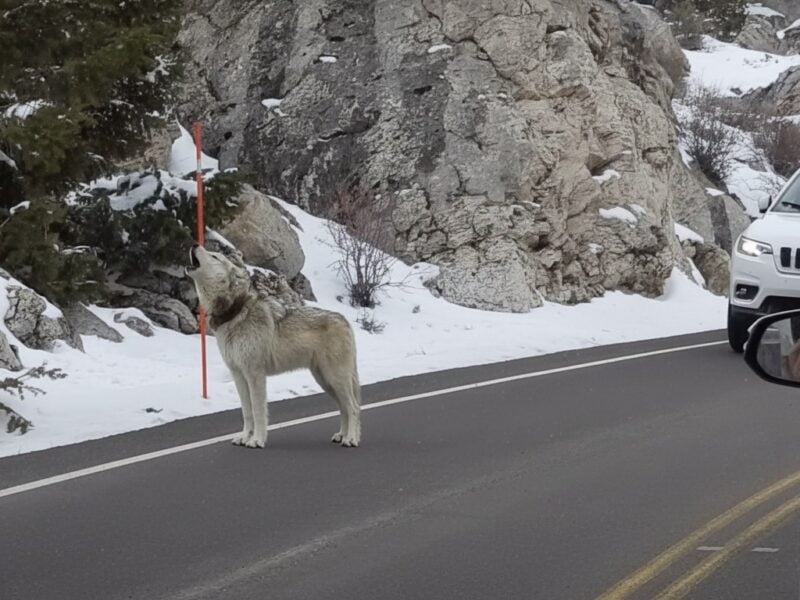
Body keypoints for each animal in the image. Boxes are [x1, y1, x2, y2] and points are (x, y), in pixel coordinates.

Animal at [185, 245, 361, 448]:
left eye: (214, 256)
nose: (194, 245)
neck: (234, 313)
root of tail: (345, 320)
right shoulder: (238, 375)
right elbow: (247, 412)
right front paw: (244, 437)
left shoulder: (255, 374)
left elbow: (258, 411)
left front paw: (257, 440)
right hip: (325, 381)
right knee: (344, 408)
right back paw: (341, 435)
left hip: (335, 379)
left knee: (354, 407)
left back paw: (351, 439)